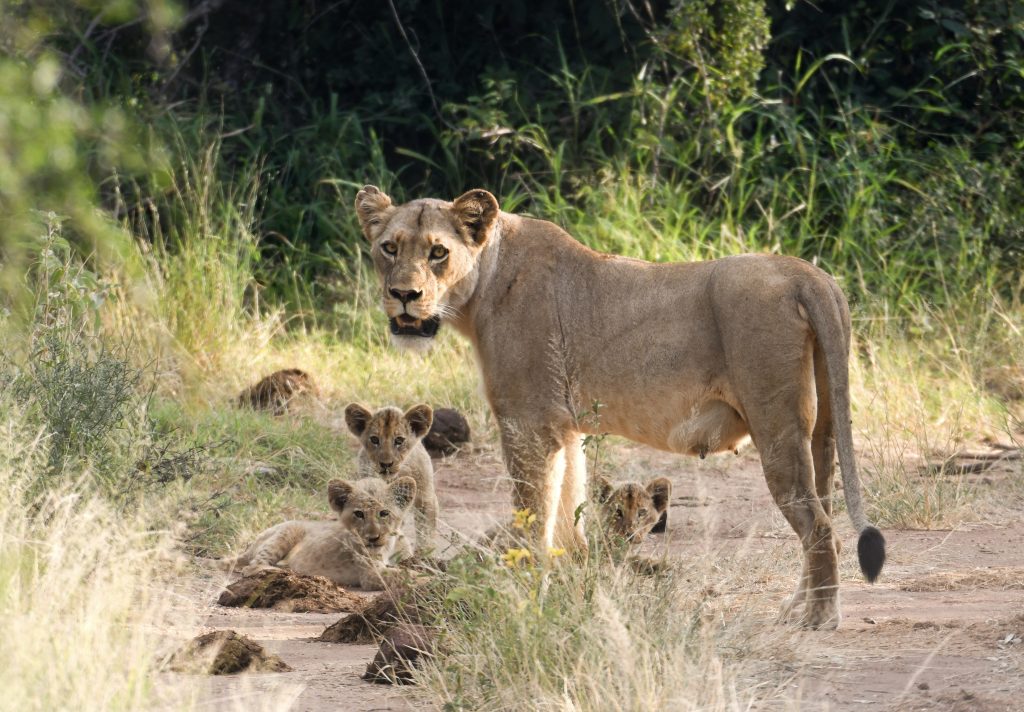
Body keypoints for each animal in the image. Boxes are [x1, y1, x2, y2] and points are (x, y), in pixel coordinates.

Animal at [223, 476, 416, 591]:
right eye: (359, 514)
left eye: (384, 513)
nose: (373, 538)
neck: (389, 545)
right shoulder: (370, 574)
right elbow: (404, 575)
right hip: (288, 530)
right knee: (253, 566)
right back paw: (290, 572)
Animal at [344, 403, 439, 555]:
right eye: (374, 439)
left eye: (399, 440)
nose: (386, 464)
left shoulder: (425, 497)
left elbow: (427, 529)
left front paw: (425, 554)